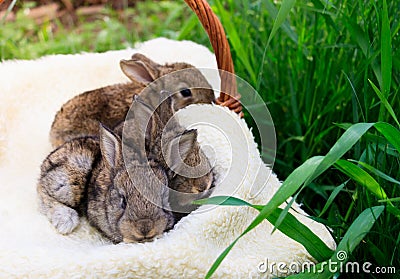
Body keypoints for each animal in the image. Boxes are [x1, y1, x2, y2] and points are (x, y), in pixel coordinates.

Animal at [37, 123, 198, 244]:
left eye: (163, 199)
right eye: (123, 201)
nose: (144, 228)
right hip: (74, 175)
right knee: (43, 190)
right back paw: (65, 221)